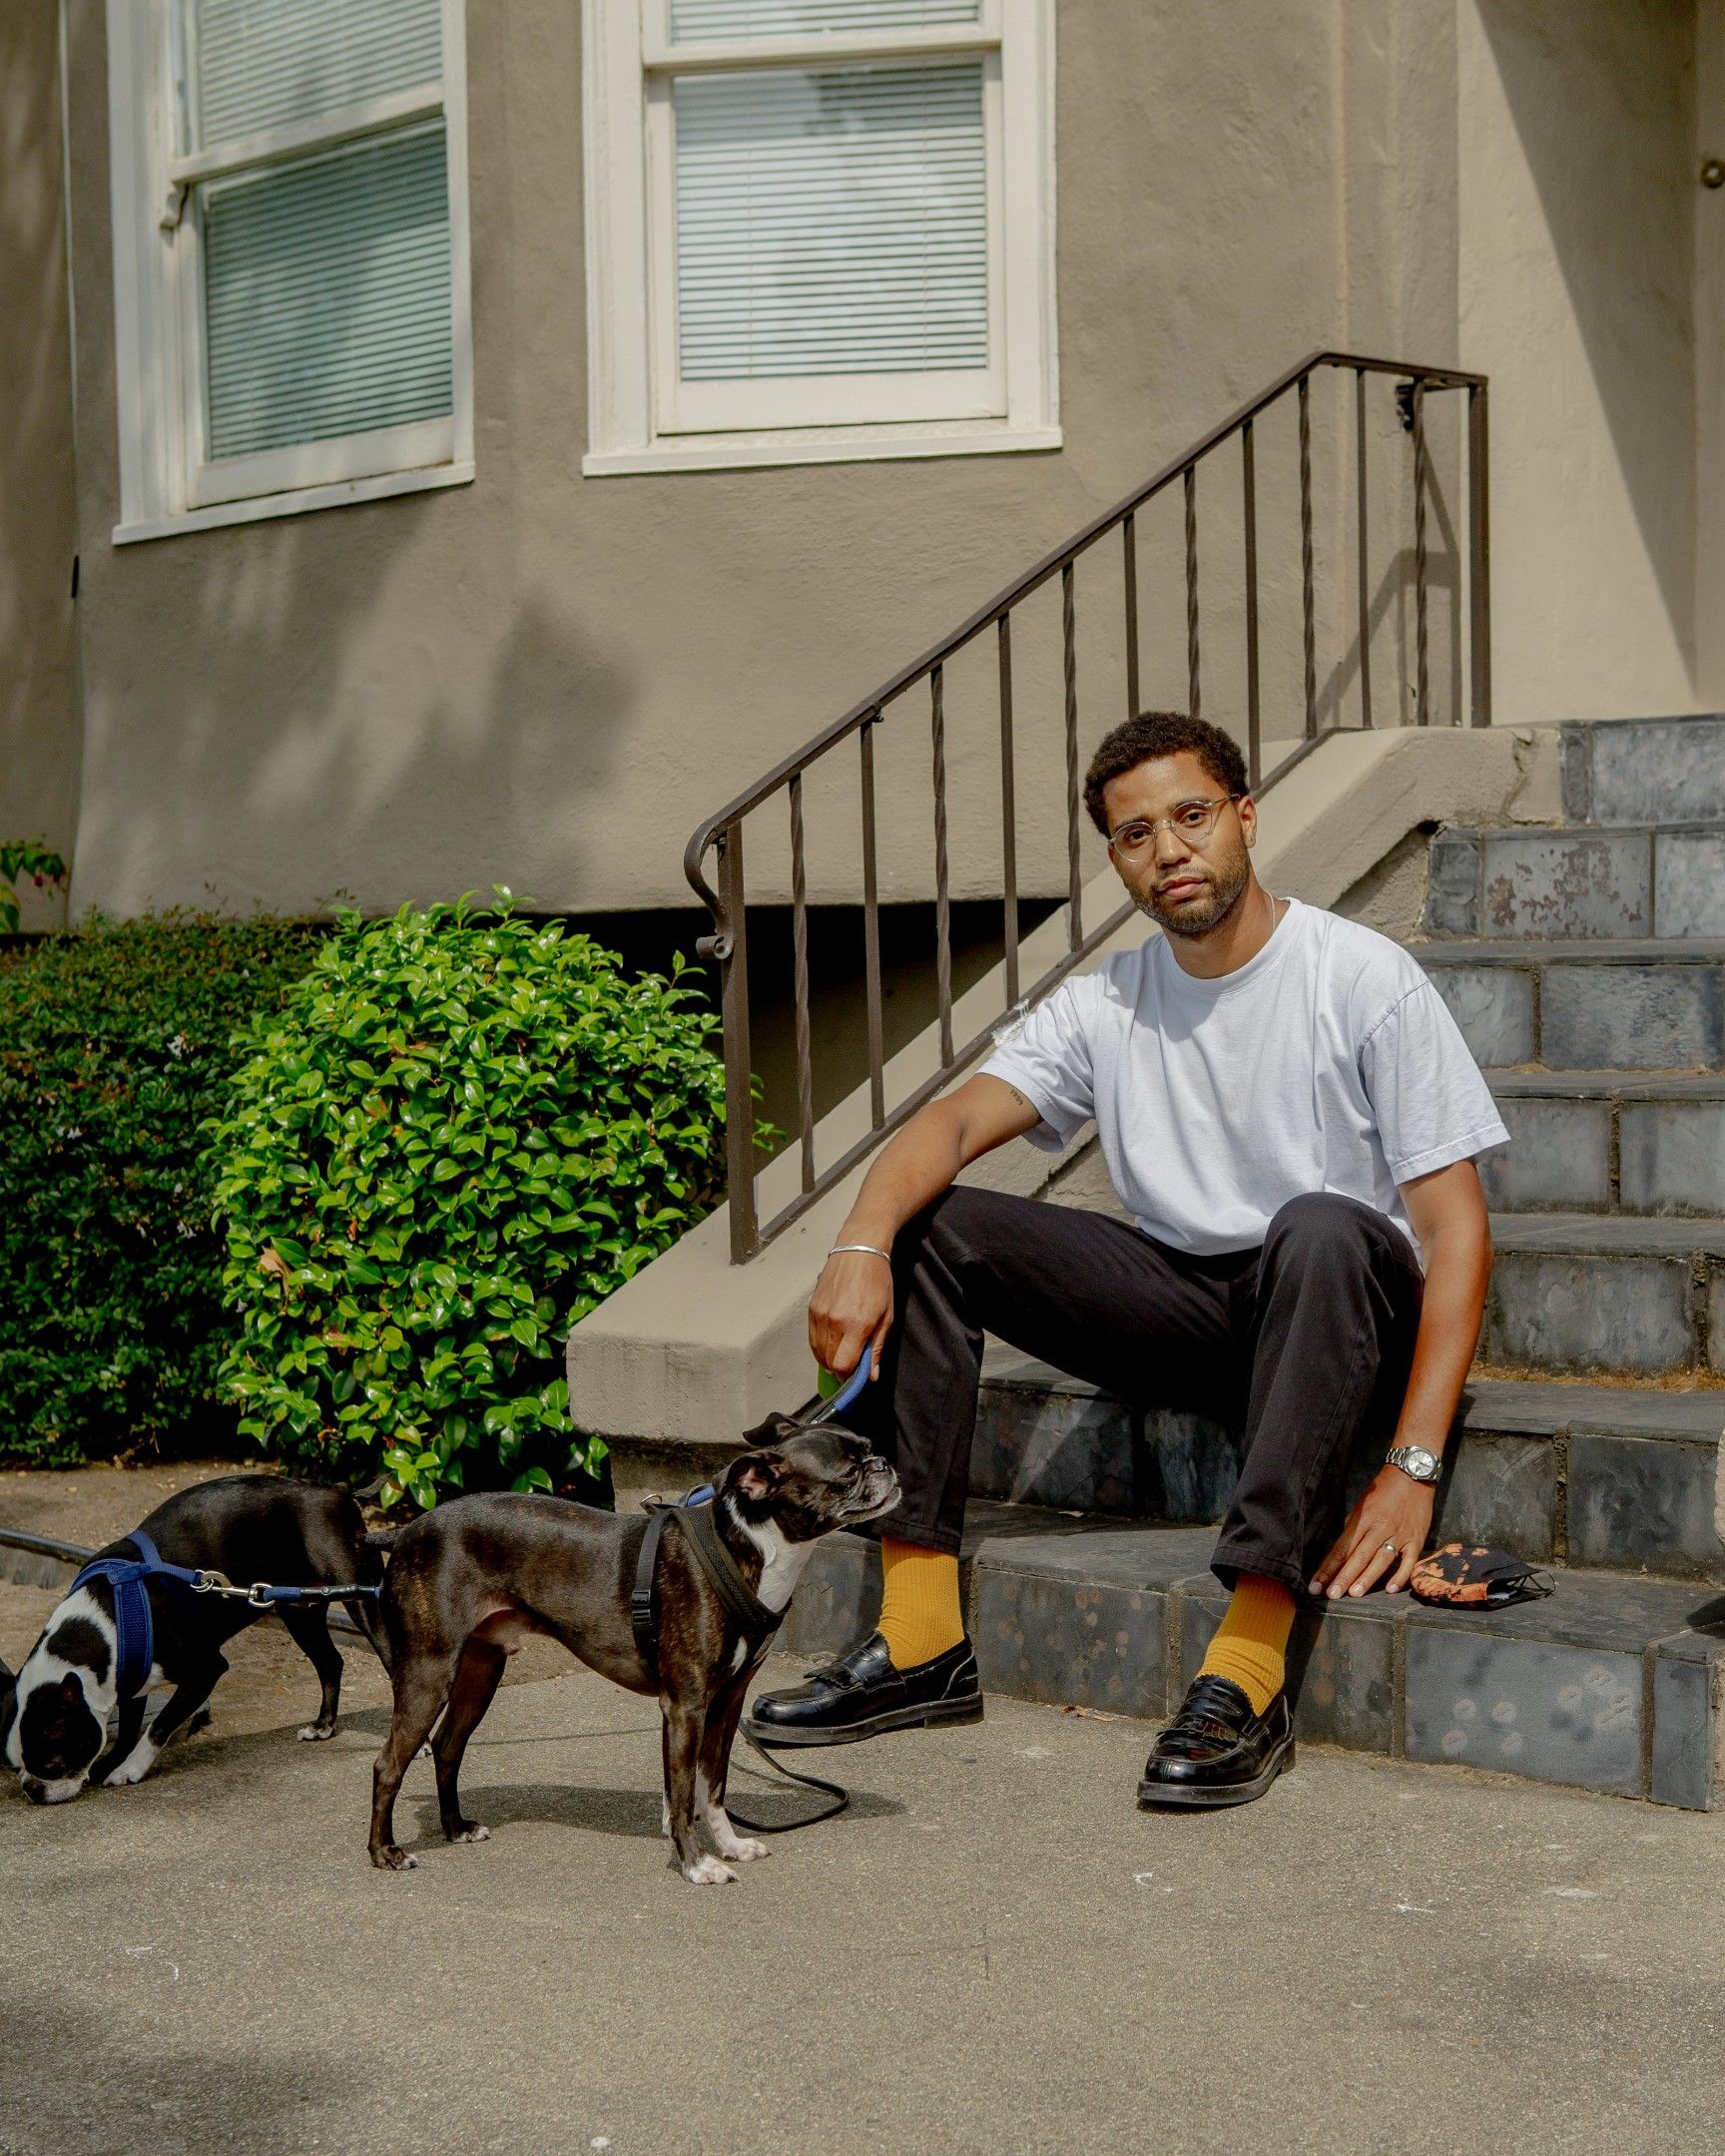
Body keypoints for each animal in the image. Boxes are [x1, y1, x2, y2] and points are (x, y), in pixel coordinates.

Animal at [3, 1465, 385, 1802]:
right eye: (15, 1764)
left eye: (53, 1763)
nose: (31, 1789)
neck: (105, 1620)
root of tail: (337, 1489)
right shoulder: (131, 1677)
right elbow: (127, 1728)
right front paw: (112, 1761)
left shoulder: (205, 1670)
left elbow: (157, 1726)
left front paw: (130, 1769)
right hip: (299, 1613)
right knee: (330, 1663)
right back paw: (323, 1726)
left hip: (362, 1597)